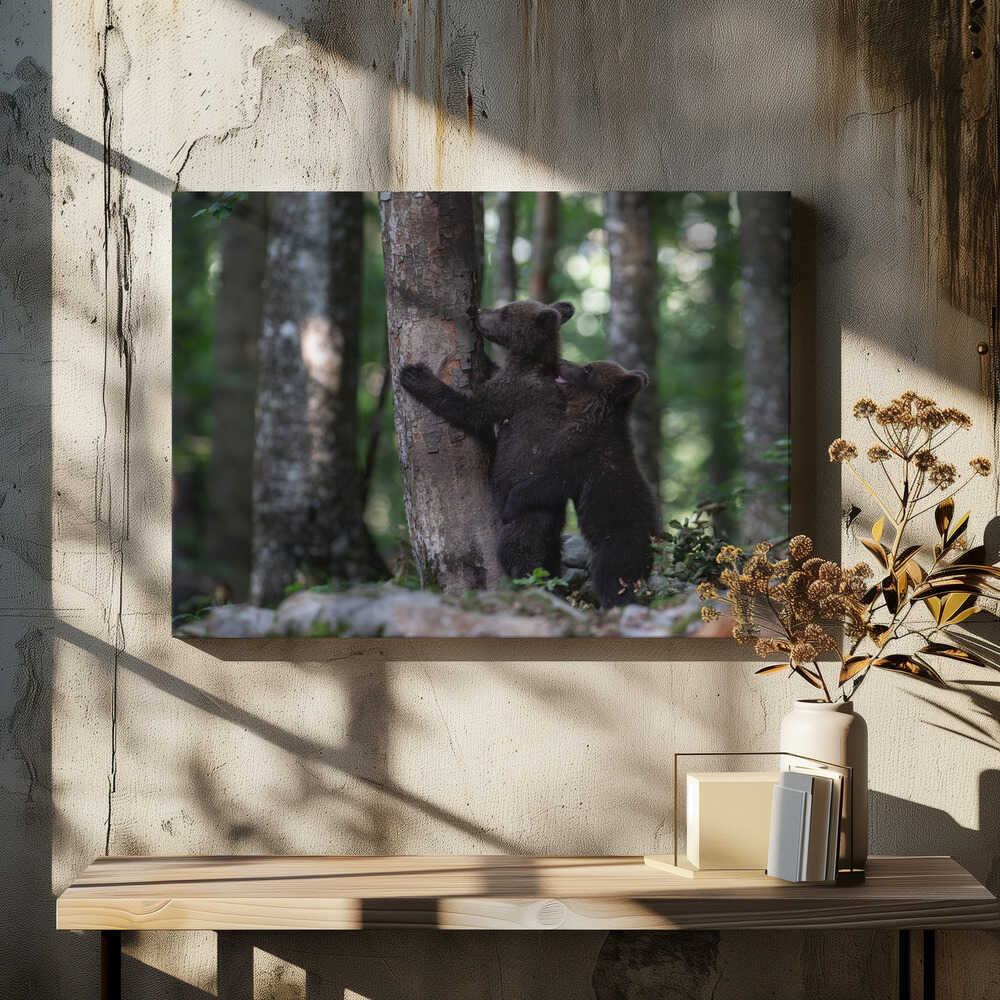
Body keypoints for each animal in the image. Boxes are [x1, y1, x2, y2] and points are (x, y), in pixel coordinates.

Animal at [399, 299, 575, 580]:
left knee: (518, 551)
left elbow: (471, 409)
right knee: (551, 560)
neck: (529, 362)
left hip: (526, 513)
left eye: (505, 313)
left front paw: (416, 375)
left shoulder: (513, 392)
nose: (477, 311)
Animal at [500, 359, 657, 608]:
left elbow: (547, 484)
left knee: (609, 579)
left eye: (588, 369)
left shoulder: (578, 459)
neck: (588, 417)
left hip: (615, 547)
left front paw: (510, 506)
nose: (561, 362)